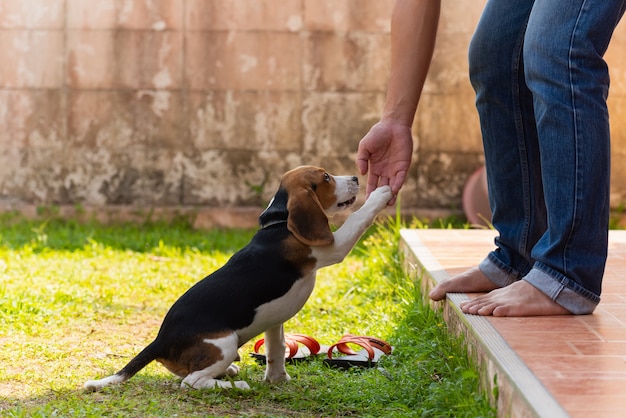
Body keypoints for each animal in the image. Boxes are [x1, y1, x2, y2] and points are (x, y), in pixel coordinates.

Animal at [84, 165, 390, 390]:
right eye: (326, 177)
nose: (355, 177)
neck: (280, 222)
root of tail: (160, 340)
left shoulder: (274, 319)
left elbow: (277, 348)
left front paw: (278, 379)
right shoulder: (333, 247)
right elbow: (357, 218)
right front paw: (381, 194)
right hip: (225, 342)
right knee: (191, 382)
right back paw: (236, 385)